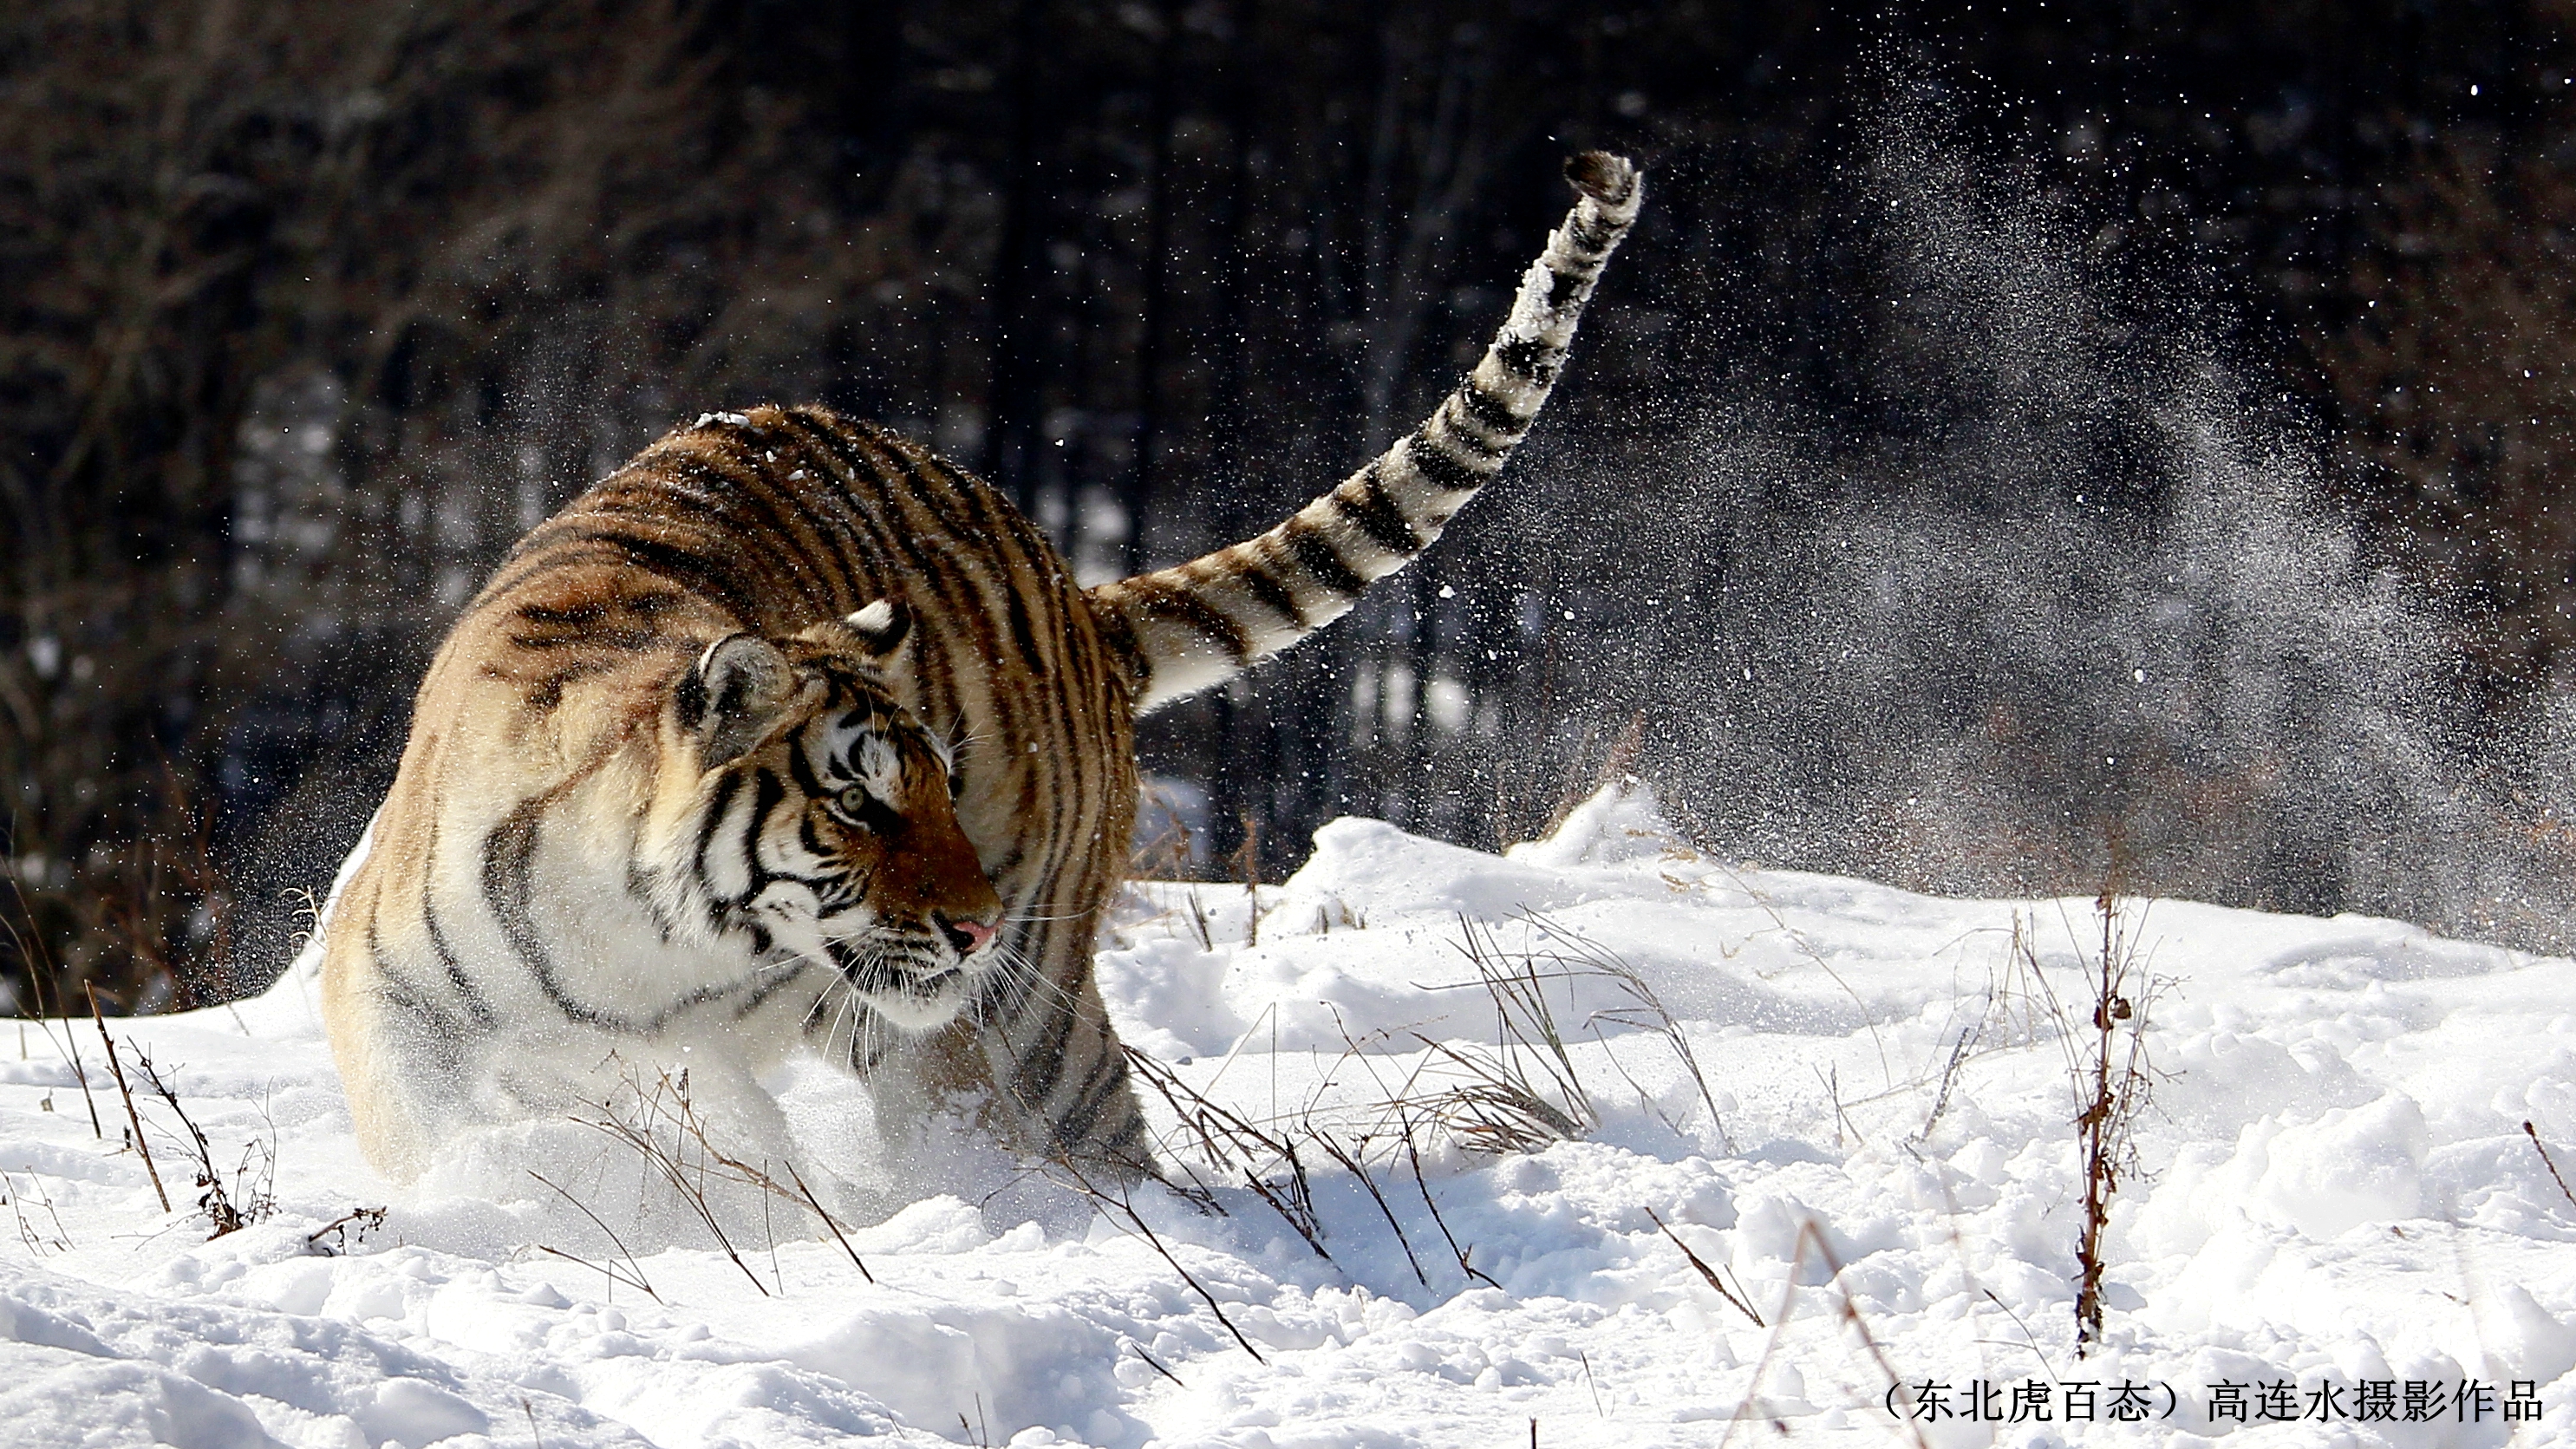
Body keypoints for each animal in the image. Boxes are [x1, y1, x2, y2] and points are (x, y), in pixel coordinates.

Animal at [316, 149, 1648, 1185]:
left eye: (941, 787)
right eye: (859, 801)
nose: (975, 926)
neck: (646, 943)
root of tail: (1075, 588)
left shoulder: (911, 1020)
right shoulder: (391, 990)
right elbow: (418, 1130)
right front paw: (484, 1203)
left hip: (1034, 1009)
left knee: (1097, 1123)